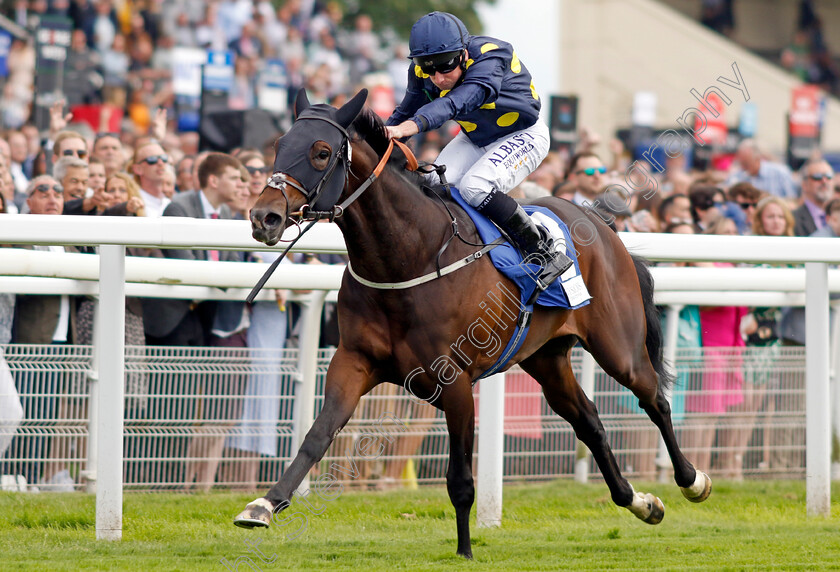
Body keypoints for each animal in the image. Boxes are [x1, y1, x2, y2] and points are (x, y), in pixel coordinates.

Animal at [235, 90, 708, 560]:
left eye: (321, 152)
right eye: (279, 145)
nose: (264, 217)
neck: (410, 254)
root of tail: (602, 224)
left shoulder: (455, 381)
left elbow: (460, 477)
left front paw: (464, 550)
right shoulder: (353, 361)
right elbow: (318, 434)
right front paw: (264, 505)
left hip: (618, 346)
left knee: (654, 399)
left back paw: (691, 480)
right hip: (546, 357)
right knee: (589, 420)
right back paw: (640, 502)